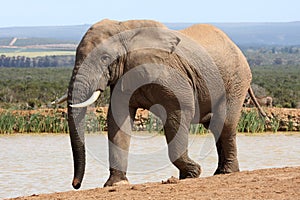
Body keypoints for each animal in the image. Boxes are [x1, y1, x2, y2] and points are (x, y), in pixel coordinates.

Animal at [52, 19, 266, 189]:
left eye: (105, 58)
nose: (75, 184)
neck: (125, 28)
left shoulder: (169, 74)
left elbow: (179, 112)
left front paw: (193, 173)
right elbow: (117, 120)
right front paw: (116, 184)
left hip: (236, 79)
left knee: (225, 123)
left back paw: (226, 173)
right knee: (214, 126)